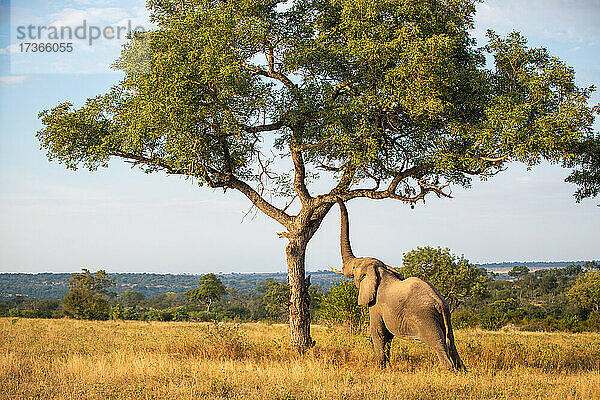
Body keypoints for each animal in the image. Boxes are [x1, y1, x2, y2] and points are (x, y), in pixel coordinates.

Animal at [332, 200, 464, 372]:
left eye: (354, 268)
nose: (338, 197)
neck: (381, 271)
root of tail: (440, 303)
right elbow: (387, 337)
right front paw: (387, 367)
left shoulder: (376, 305)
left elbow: (378, 333)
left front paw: (381, 369)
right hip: (446, 316)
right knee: (451, 342)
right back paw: (462, 371)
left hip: (426, 318)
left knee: (438, 344)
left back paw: (448, 372)